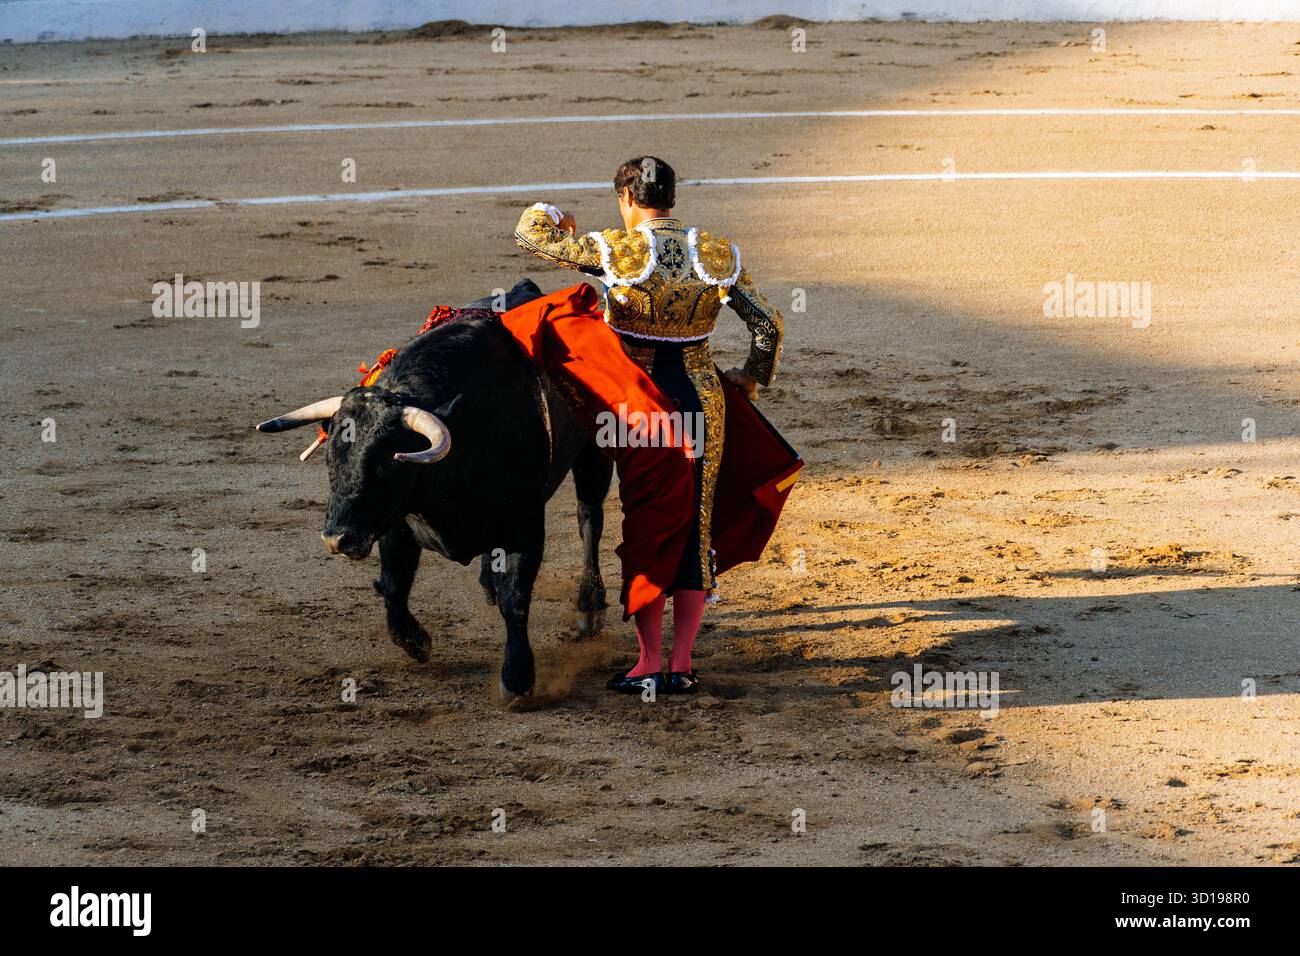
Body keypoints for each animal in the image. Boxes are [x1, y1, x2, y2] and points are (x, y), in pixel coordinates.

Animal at [256, 280, 613, 699]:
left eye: (388, 463)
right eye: (331, 458)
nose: (337, 539)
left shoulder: (524, 521)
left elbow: (515, 595)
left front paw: (517, 678)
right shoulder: (395, 523)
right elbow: (393, 586)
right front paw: (415, 642)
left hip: (596, 450)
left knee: (589, 519)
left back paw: (589, 607)